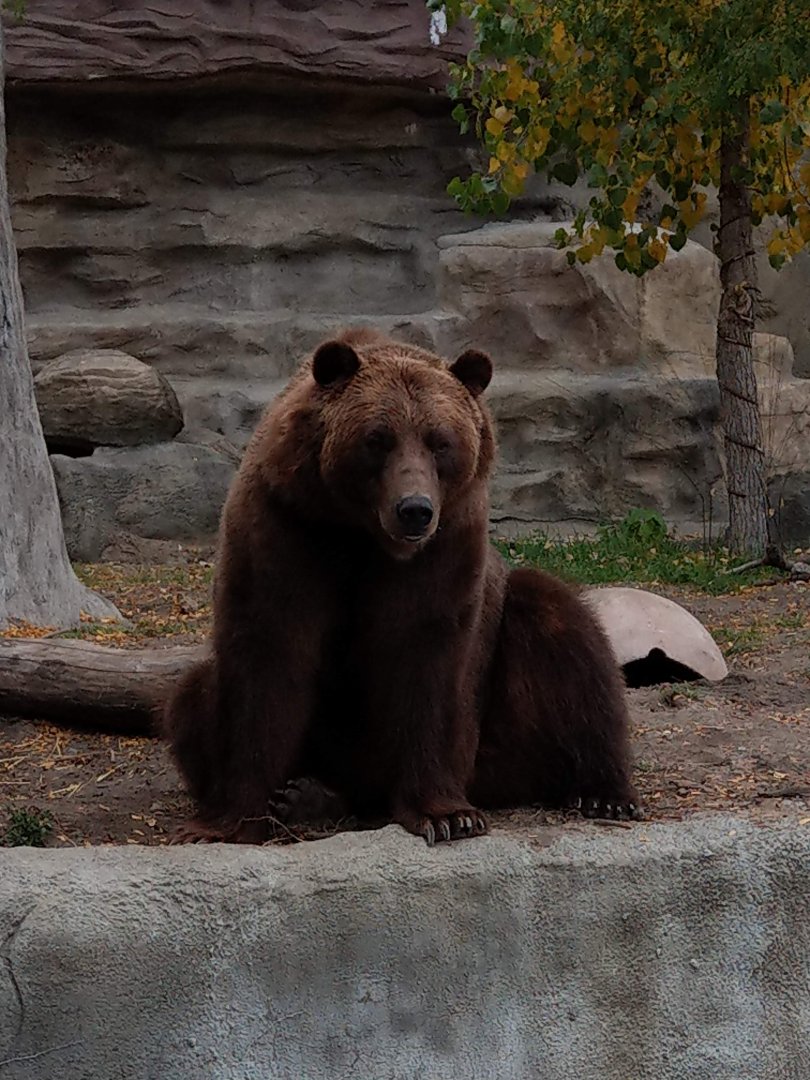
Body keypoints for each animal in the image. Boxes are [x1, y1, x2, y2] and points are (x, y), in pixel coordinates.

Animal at [163, 328, 639, 845]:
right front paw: (225, 822)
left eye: (440, 442)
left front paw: (447, 816)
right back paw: (309, 795)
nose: (414, 509)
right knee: (191, 696)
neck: (361, 534)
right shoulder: (286, 528)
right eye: (378, 439)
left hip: (501, 728)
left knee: (564, 636)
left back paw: (603, 793)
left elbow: (424, 657)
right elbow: (265, 657)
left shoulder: (444, 549)